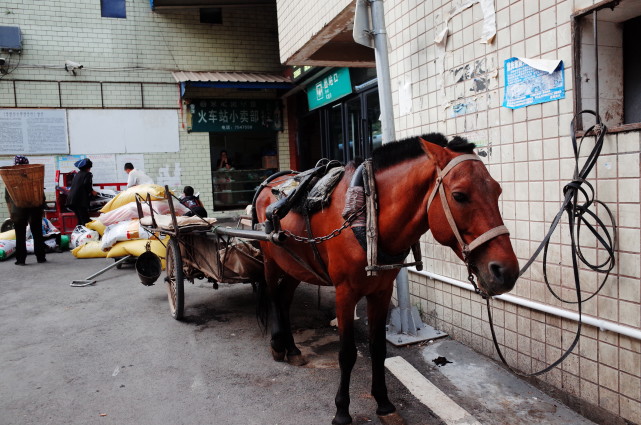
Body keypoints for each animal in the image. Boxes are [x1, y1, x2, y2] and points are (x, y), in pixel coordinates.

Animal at [252, 132, 516, 420]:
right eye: (459, 195)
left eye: (498, 191)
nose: (507, 271)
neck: (367, 214)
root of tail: (269, 183)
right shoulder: (345, 293)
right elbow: (347, 353)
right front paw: (342, 410)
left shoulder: (381, 290)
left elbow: (378, 347)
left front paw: (384, 403)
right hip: (271, 260)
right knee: (274, 298)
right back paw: (277, 345)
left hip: (295, 264)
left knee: (285, 300)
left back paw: (292, 349)